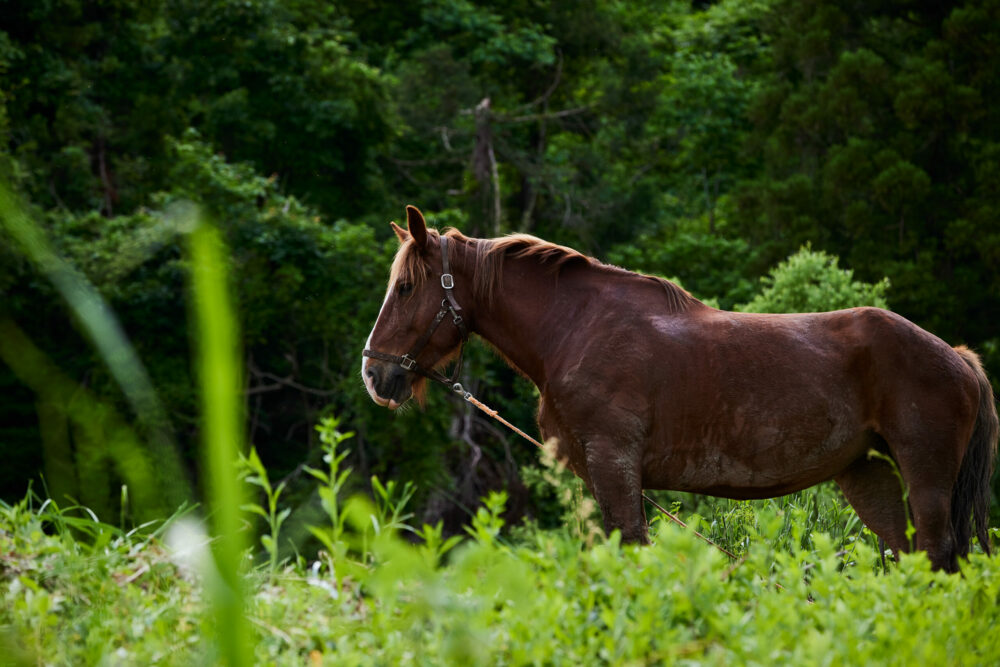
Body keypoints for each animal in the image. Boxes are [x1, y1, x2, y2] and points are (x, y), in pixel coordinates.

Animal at [362, 205, 998, 572]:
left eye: (407, 286)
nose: (374, 373)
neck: (577, 327)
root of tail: (960, 359)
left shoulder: (616, 467)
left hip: (926, 478)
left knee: (936, 557)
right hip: (869, 474)